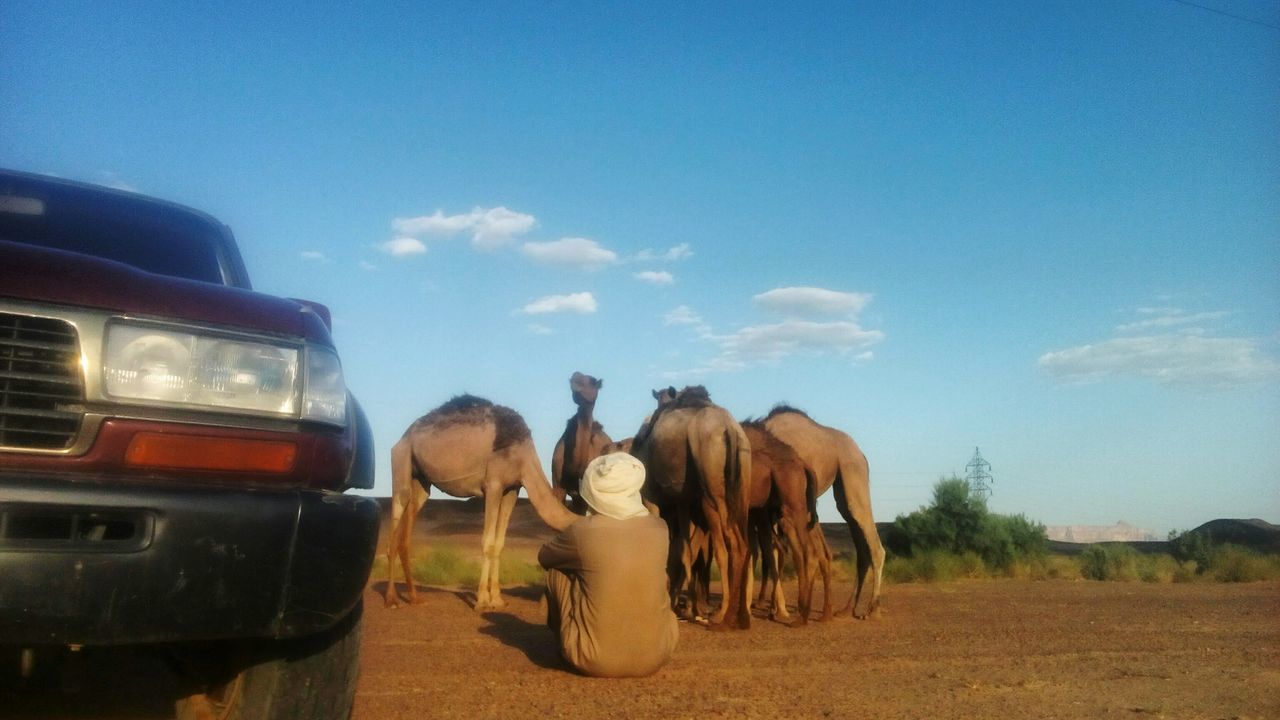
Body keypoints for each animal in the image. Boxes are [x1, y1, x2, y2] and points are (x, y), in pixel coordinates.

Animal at [376, 394, 542, 607]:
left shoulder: (512, 489)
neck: (524, 454)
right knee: (399, 504)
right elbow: (488, 542)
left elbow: (498, 544)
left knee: (408, 525)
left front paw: (497, 599)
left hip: (420, 480)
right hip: (402, 460)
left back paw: (414, 597)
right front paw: (482, 601)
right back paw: (391, 599)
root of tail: (403, 438)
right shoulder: (494, 485)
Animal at [632, 386, 752, 627]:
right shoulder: (683, 501)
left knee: (727, 544)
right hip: (742, 483)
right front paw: (683, 607)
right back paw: (738, 617)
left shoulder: (651, 498)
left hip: (711, 488)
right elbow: (686, 550)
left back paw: (722, 615)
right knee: (742, 542)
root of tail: (729, 429)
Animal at [762, 404, 885, 617]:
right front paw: (776, 608)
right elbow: (775, 554)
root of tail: (860, 454)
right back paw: (846, 609)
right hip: (843, 487)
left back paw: (872, 609)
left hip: (853, 471)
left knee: (872, 540)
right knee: (861, 547)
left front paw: (782, 610)